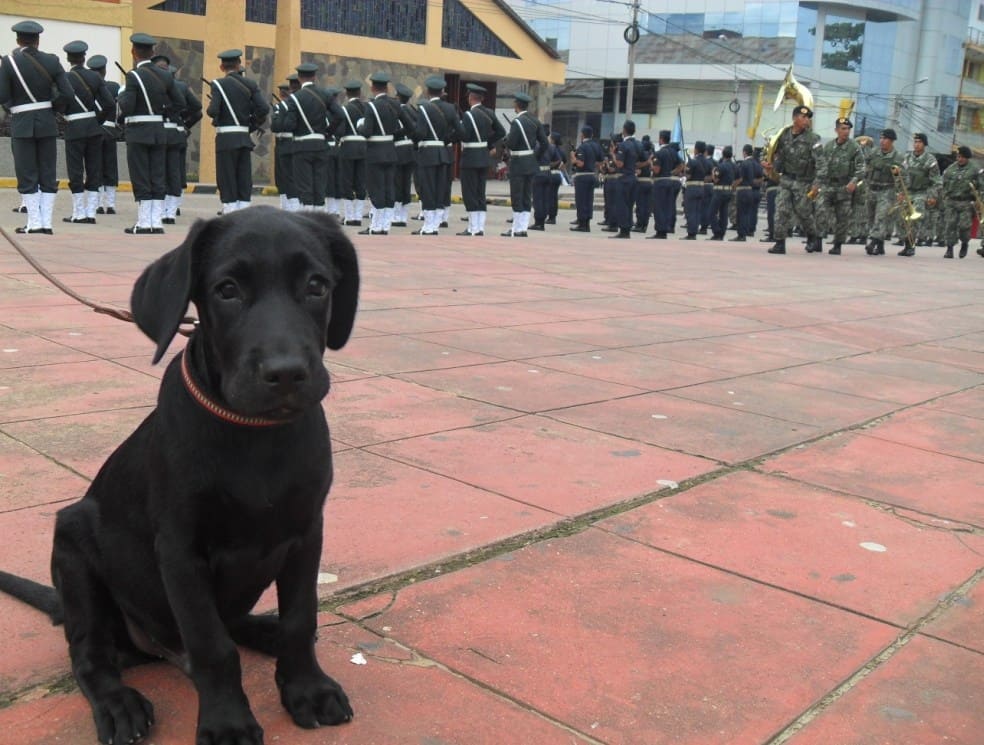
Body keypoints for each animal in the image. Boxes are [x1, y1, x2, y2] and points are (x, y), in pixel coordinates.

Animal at [0, 205, 362, 744]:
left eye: (317, 285)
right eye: (227, 290)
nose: (286, 373)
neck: (254, 434)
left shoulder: (306, 532)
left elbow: (301, 618)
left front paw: (308, 689)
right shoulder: (180, 551)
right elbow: (213, 647)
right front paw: (228, 723)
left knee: (241, 624)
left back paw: (267, 631)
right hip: (74, 550)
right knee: (90, 655)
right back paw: (119, 704)